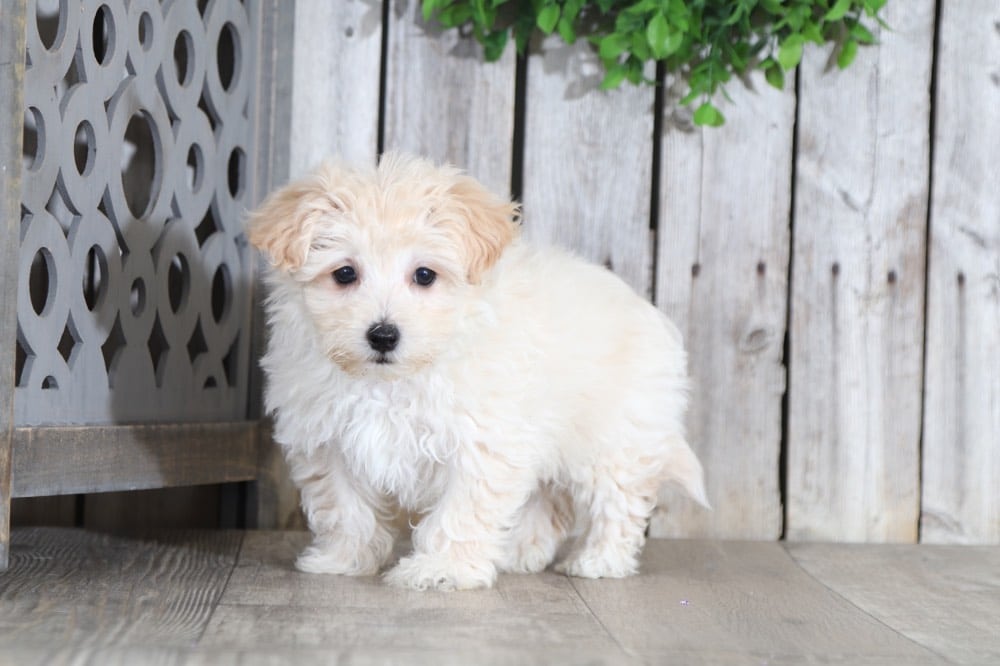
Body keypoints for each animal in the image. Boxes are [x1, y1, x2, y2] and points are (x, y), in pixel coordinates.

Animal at [246, 153, 708, 588]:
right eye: (344, 273)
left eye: (425, 275)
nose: (383, 335)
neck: (392, 381)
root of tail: (647, 310)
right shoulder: (327, 441)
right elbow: (343, 507)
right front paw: (343, 560)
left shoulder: (481, 440)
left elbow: (461, 511)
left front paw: (441, 569)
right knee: (549, 500)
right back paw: (519, 552)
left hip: (614, 439)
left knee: (619, 501)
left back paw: (600, 560)